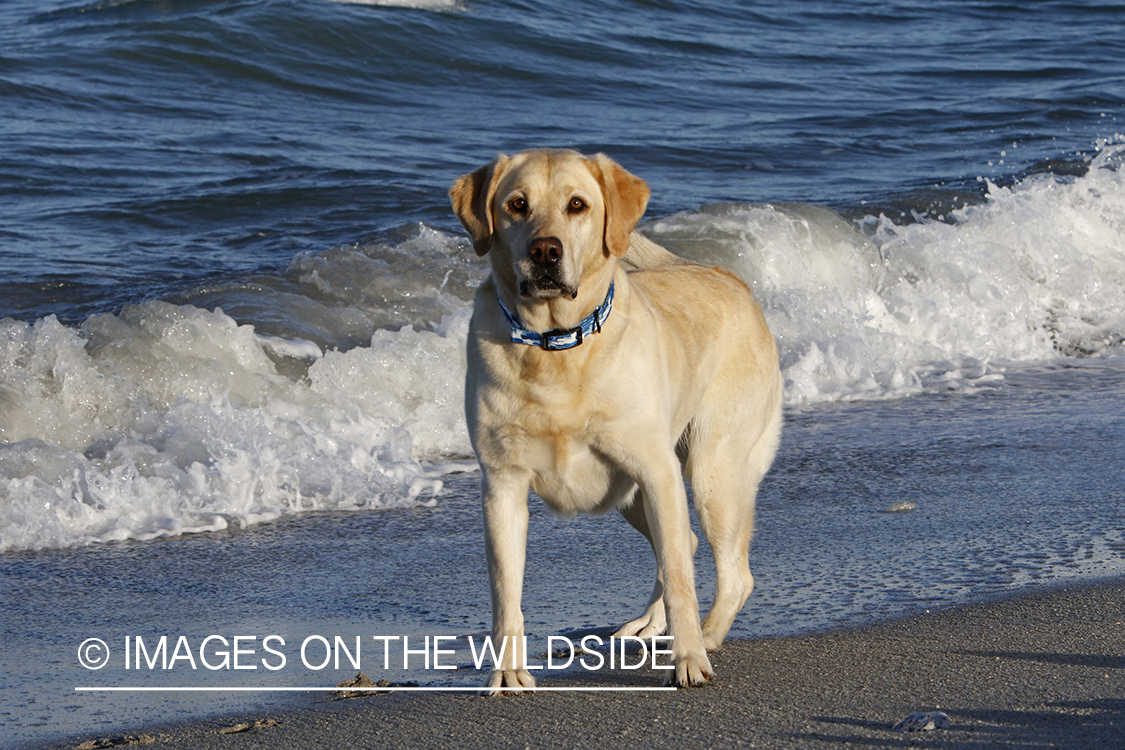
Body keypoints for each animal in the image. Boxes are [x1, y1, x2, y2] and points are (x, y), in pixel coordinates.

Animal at [447, 148, 783, 692]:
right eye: (517, 204)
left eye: (577, 205)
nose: (545, 251)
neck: (557, 348)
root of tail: (722, 273)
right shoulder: (502, 486)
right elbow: (505, 592)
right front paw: (508, 672)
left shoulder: (657, 470)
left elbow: (682, 581)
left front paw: (689, 659)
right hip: (631, 495)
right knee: (685, 545)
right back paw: (650, 623)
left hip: (710, 473)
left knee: (729, 571)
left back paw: (707, 636)